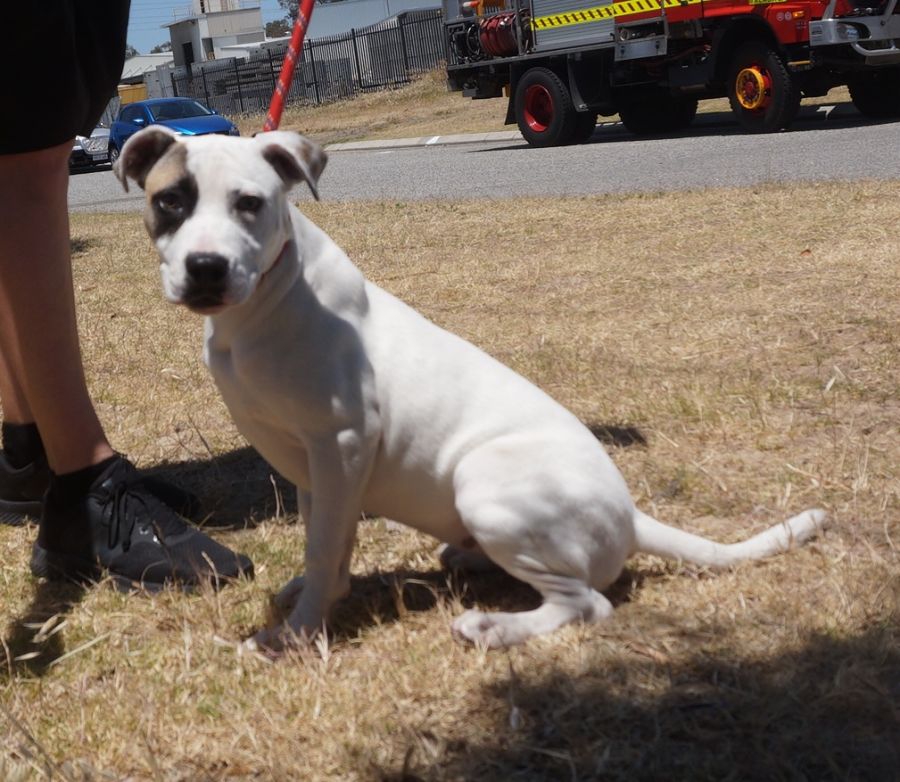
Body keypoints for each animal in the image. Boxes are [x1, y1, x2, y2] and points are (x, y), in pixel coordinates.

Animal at [116, 126, 826, 650]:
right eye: (171, 201)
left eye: (250, 204)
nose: (205, 268)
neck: (263, 302)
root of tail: (631, 516)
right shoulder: (309, 464)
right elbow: (326, 539)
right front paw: (317, 598)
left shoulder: (340, 443)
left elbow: (324, 547)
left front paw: (296, 634)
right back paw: (469, 561)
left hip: (484, 485)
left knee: (588, 602)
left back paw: (496, 627)